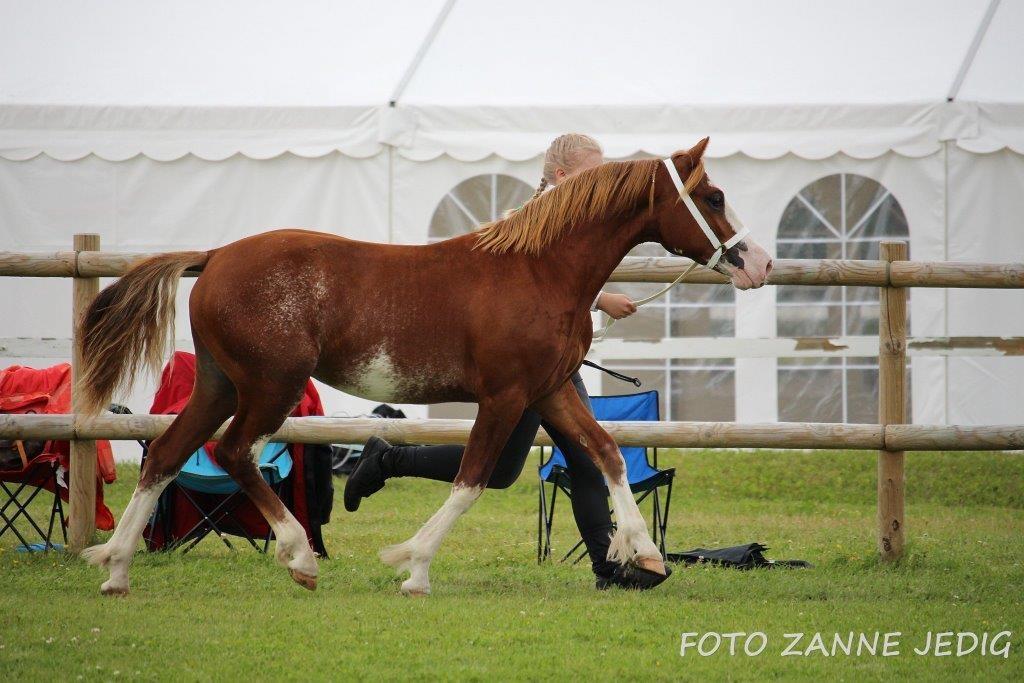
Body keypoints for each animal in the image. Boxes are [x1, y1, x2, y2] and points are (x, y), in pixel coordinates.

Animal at [77, 136, 770, 593]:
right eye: (714, 196)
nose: (758, 264)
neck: (539, 270)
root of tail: (216, 256)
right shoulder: (506, 397)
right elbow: (470, 481)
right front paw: (412, 566)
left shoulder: (550, 392)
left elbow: (604, 456)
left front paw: (645, 557)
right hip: (270, 387)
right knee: (232, 452)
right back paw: (299, 557)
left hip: (221, 385)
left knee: (168, 455)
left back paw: (116, 568)